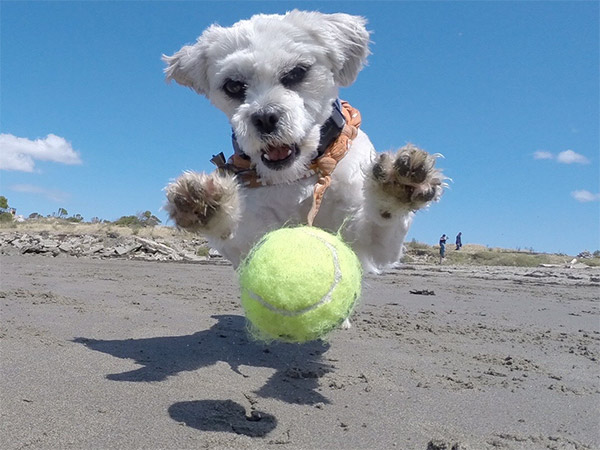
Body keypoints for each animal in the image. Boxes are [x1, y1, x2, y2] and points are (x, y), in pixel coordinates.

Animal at [162, 10, 442, 274]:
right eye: (233, 86)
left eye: (296, 72)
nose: (264, 117)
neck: (300, 174)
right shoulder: (250, 242)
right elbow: (236, 236)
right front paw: (207, 205)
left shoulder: (371, 246)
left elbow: (382, 219)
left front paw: (398, 186)